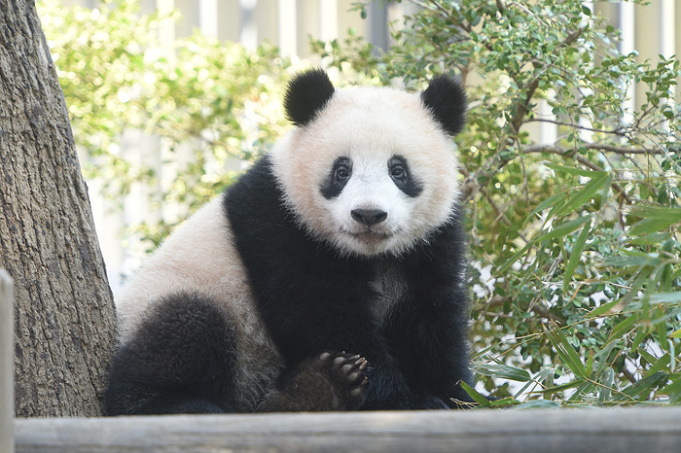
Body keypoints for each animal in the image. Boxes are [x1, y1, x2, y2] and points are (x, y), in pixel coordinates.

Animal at [105, 68, 472, 414]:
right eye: (342, 171)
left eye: (398, 171)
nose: (368, 214)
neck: (368, 253)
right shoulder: (282, 225)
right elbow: (322, 313)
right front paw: (403, 399)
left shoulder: (431, 243)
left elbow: (433, 318)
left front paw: (453, 397)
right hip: (186, 296)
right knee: (183, 331)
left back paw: (311, 389)